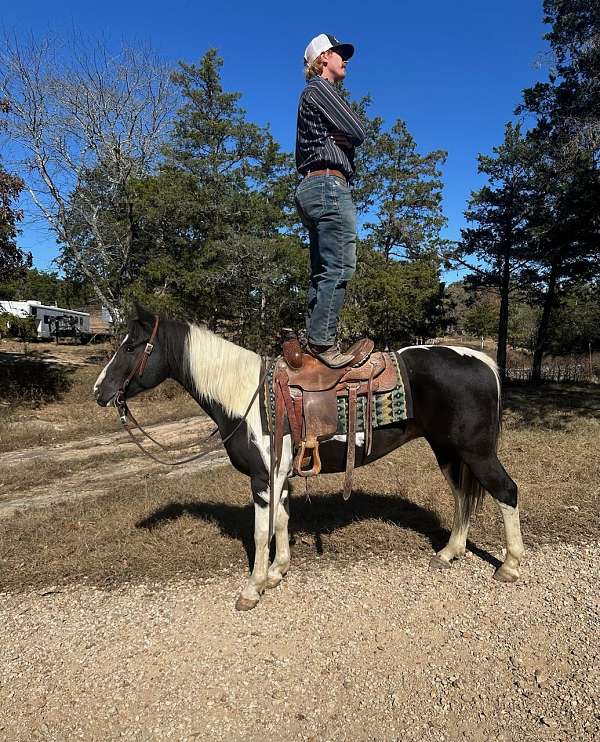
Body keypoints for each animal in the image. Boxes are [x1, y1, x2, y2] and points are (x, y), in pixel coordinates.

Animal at [96, 306, 524, 612]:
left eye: (131, 347)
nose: (100, 391)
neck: (246, 396)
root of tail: (482, 360)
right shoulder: (279, 476)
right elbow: (282, 521)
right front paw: (277, 572)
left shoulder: (262, 479)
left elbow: (261, 532)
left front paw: (252, 589)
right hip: (448, 450)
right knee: (462, 496)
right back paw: (450, 553)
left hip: (476, 451)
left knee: (506, 491)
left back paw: (509, 565)